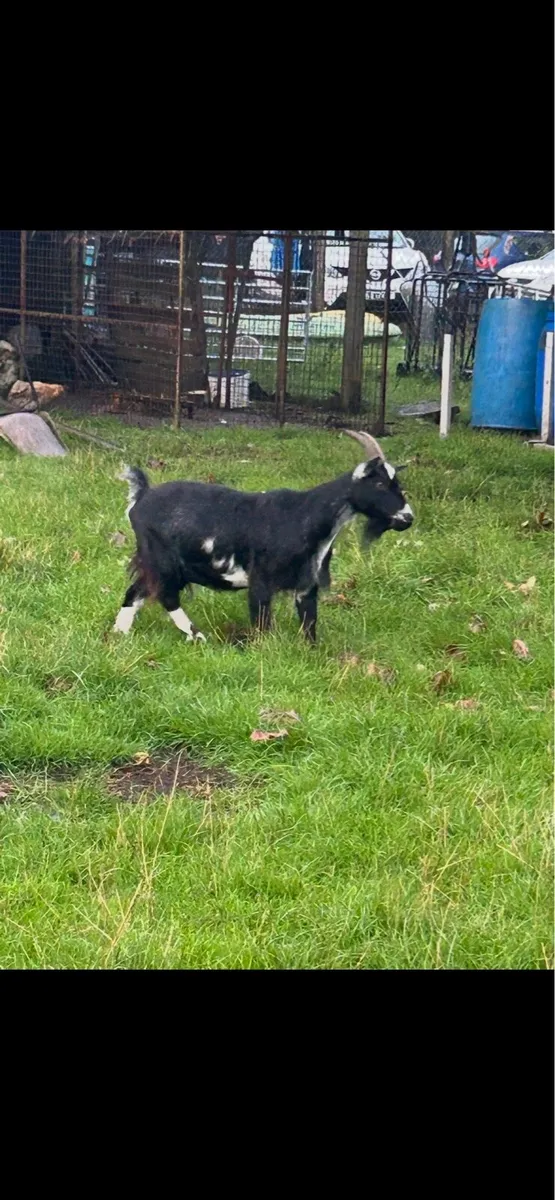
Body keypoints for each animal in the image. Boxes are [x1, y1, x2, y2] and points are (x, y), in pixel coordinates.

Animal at [113, 430, 413, 644]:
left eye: (397, 483)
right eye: (379, 483)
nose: (407, 517)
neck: (305, 515)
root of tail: (141, 496)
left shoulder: (307, 586)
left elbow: (310, 625)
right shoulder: (260, 581)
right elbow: (262, 624)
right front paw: (264, 651)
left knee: (135, 592)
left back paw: (120, 635)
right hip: (162, 558)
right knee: (166, 595)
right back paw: (197, 636)